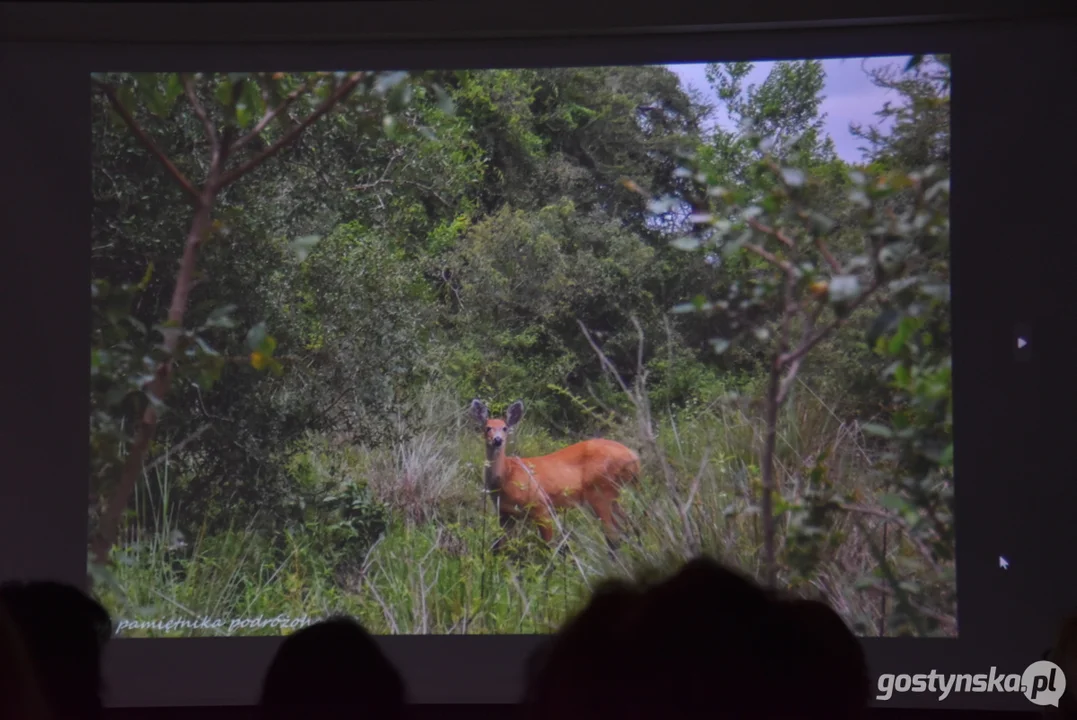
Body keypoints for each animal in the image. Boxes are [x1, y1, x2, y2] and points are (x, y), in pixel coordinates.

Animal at [469, 398, 637, 551]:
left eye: (504, 428)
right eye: (487, 428)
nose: (497, 440)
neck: (506, 475)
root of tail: (634, 457)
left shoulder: (541, 505)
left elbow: (547, 545)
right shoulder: (505, 513)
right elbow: (501, 547)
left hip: (601, 491)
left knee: (614, 536)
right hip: (610, 495)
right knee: (629, 525)